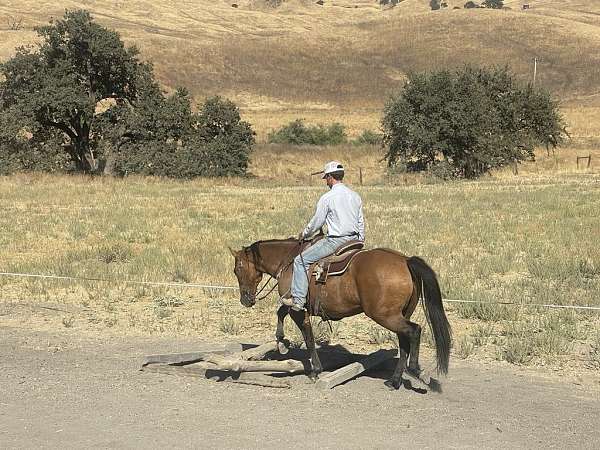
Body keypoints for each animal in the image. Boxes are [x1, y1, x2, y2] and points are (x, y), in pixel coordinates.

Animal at [229, 236, 450, 390]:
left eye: (237, 269)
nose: (245, 300)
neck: (289, 261)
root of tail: (404, 260)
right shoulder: (293, 305)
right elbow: (280, 312)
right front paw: (281, 341)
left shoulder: (298, 309)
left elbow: (308, 338)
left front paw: (315, 370)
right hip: (399, 315)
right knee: (404, 341)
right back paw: (394, 381)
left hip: (385, 316)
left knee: (414, 331)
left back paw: (415, 369)